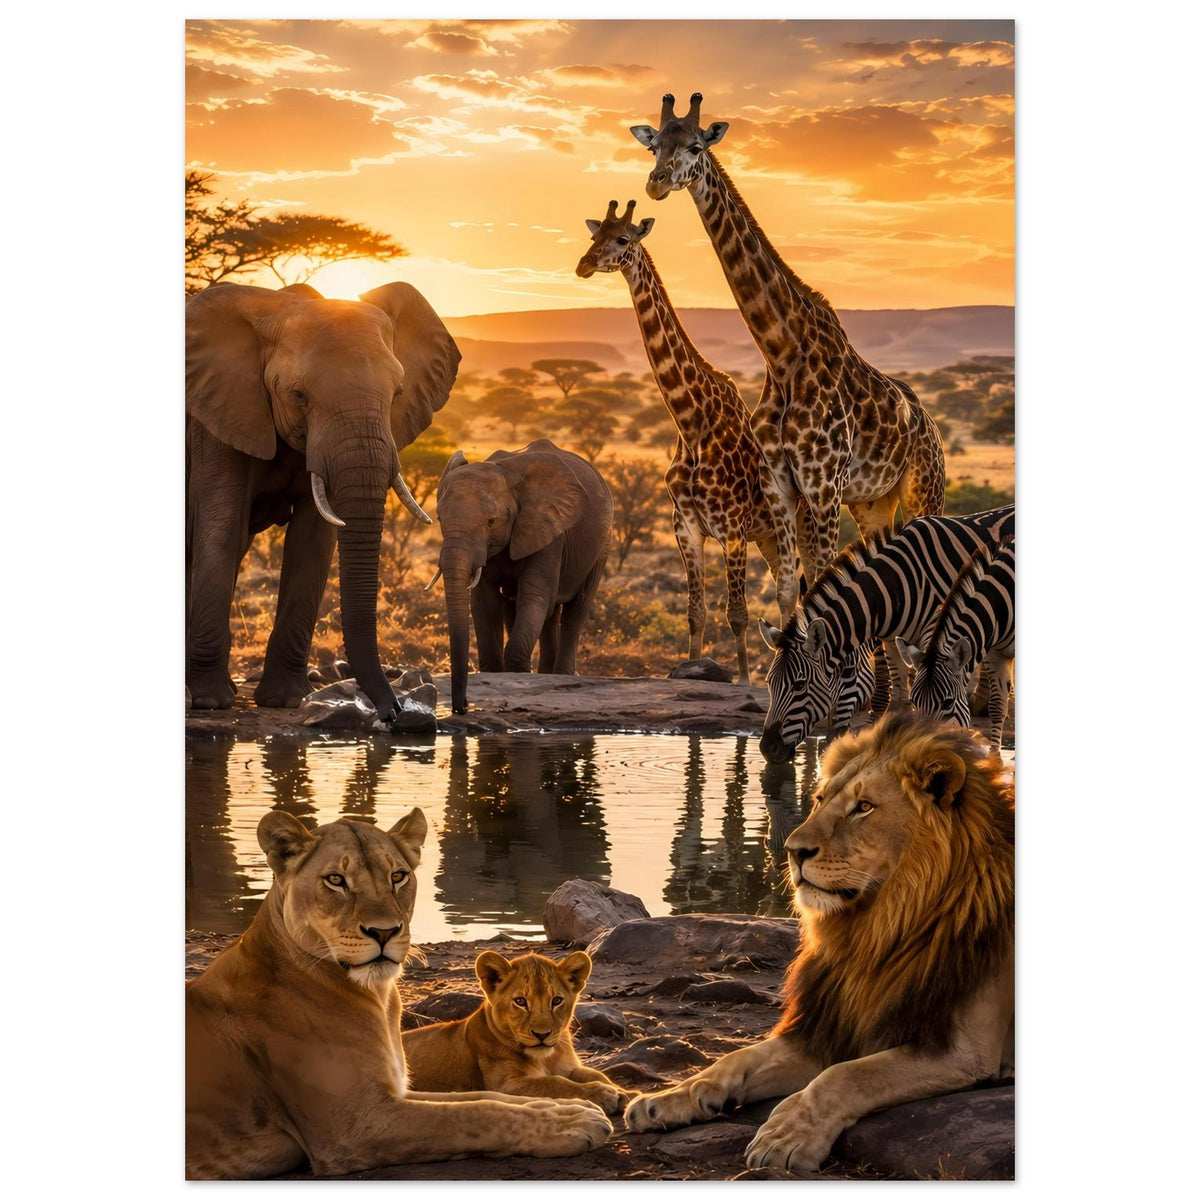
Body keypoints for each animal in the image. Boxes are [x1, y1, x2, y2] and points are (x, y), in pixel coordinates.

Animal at [402, 949, 630, 1114]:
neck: (545, 1059)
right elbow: (554, 1083)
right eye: (520, 1001)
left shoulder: (569, 1067)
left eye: (556, 1001)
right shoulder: (505, 1086)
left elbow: (595, 1073)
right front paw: (603, 1094)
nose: (542, 1035)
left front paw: (623, 1092)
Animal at [626, 713, 1015, 1173]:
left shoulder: (964, 1051)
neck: (878, 928)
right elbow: (737, 1058)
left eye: (864, 807)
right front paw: (669, 1098)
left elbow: (848, 1075)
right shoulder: (833, 1025)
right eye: (820, 799)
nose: (793, 851)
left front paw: (787, 1134)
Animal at [898, 539, 1015, 750]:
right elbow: (996, 707)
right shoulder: (995, 654)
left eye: (947, 703)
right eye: (913, 702)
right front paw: (995, 757)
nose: (920, 749)